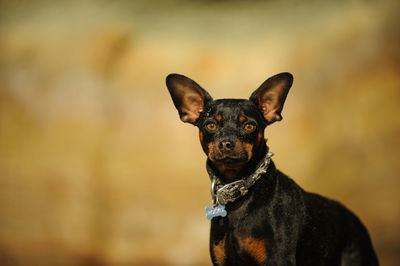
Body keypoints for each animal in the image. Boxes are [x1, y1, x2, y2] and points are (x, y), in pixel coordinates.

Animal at [166, 72, 378, 266]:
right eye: (210, 125)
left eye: (249, 126)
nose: (226, 143)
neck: (238, 189)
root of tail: (356, 220)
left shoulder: (278, 259)